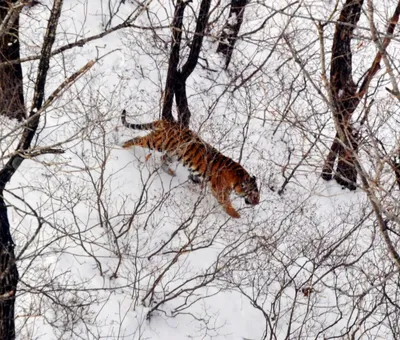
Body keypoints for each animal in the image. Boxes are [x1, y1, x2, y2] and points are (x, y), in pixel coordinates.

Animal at [120, 110, 260, 219]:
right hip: (156, 143)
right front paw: (236, 215)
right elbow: (226, 203)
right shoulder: (220, 191)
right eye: (255, 193)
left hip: (173, 154)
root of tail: (167, 122)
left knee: (163, 158)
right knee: (138, 139)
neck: (238, 180)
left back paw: (170, 172)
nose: (258, 202)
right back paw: (122, 146)